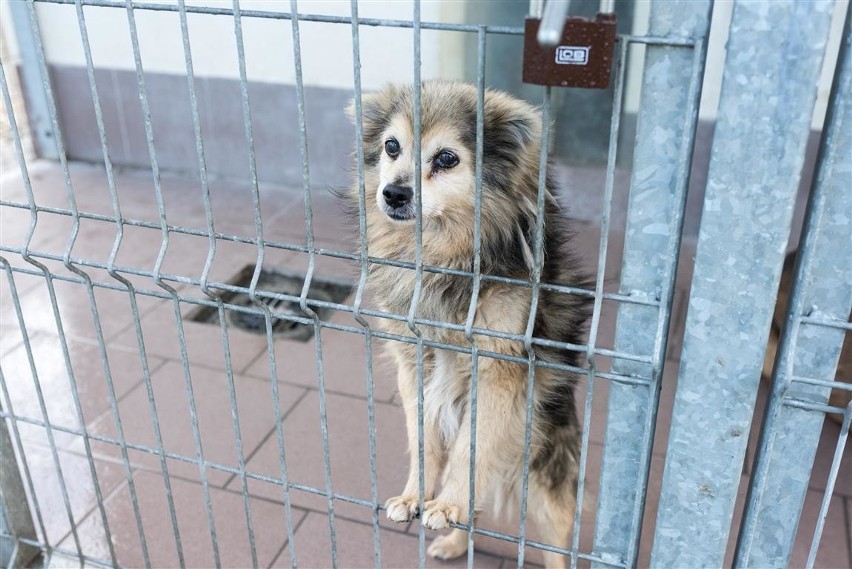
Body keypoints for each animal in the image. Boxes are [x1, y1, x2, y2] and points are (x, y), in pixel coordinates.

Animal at [342, 81, 588, 568]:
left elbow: (469, 449)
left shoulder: (499, 369)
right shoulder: (413, 364)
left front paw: (448, 500)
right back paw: (454, 541)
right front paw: (416, 496)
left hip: (545, 475)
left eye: (447, 158)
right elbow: (423, 440)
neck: (444, 259)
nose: (393, 194)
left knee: (555, 541)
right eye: (392, 146)